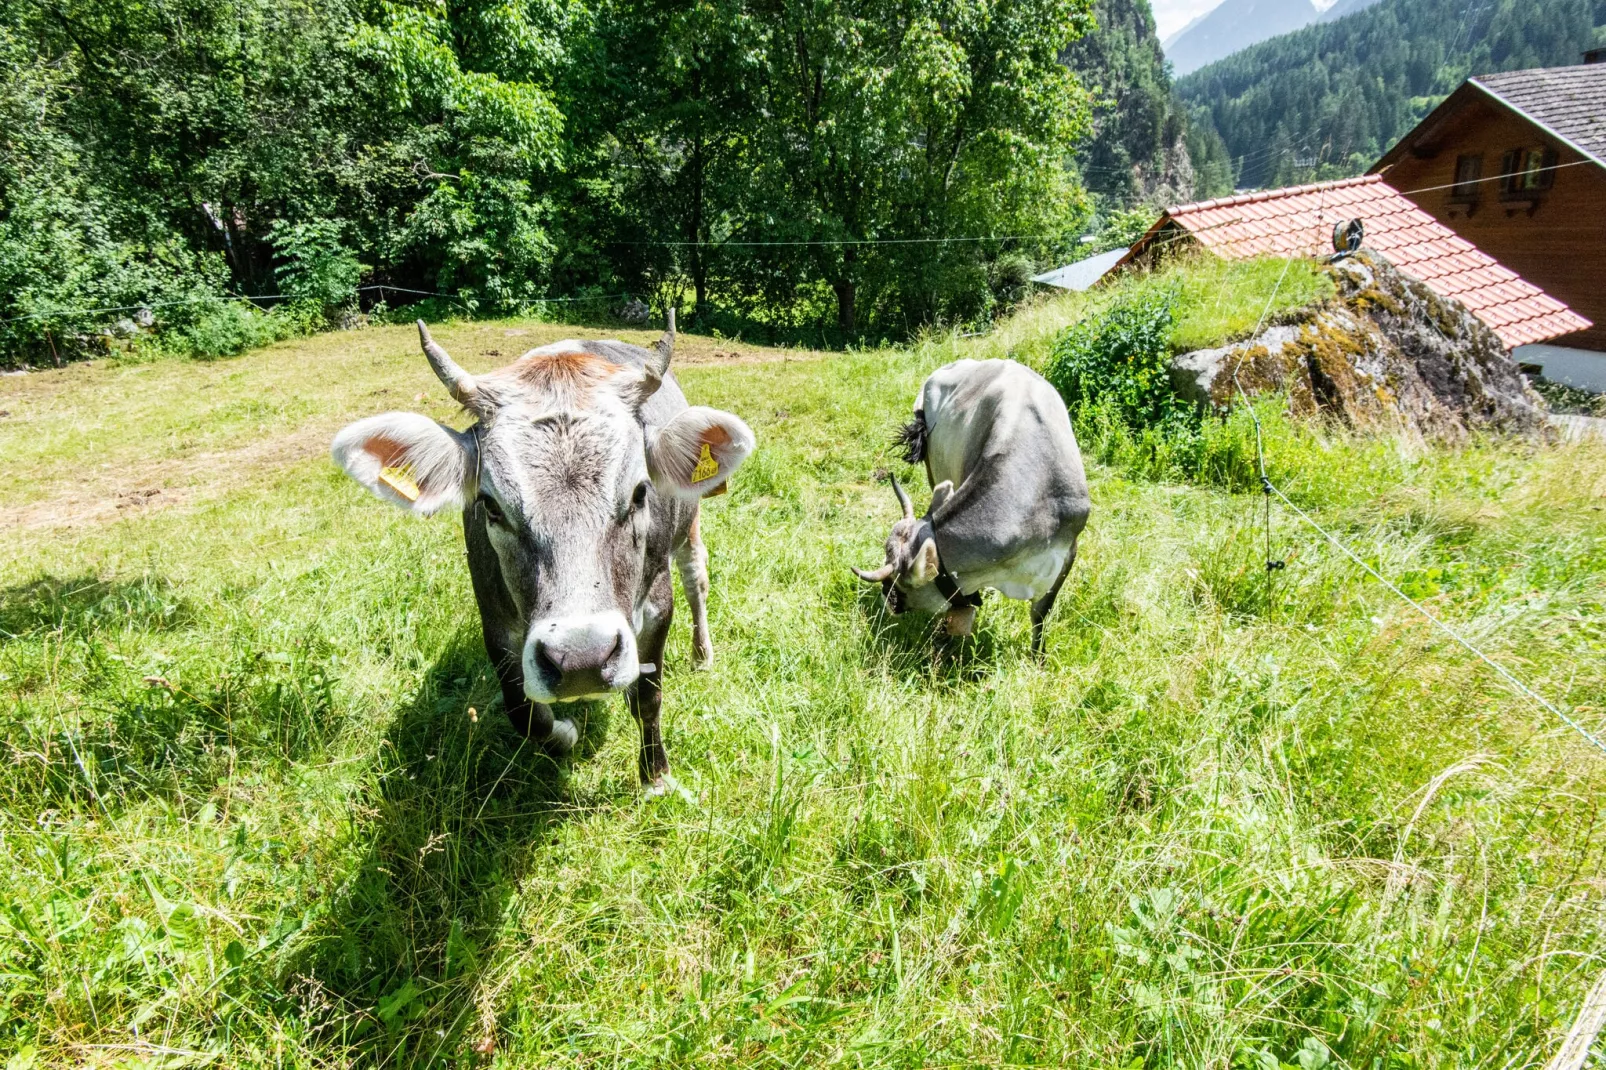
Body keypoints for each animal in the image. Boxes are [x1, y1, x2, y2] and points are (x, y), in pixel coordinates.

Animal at [330, 313, 751, 787]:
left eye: (641, 491)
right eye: (490, 505)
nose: (582, 659)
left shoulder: (658, 601)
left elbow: (649, 695)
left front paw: (655, 777)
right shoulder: (494, 618)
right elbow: (523, 713)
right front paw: (564, 734)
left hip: (690, 526)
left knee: (696, 577)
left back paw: (702, 654)